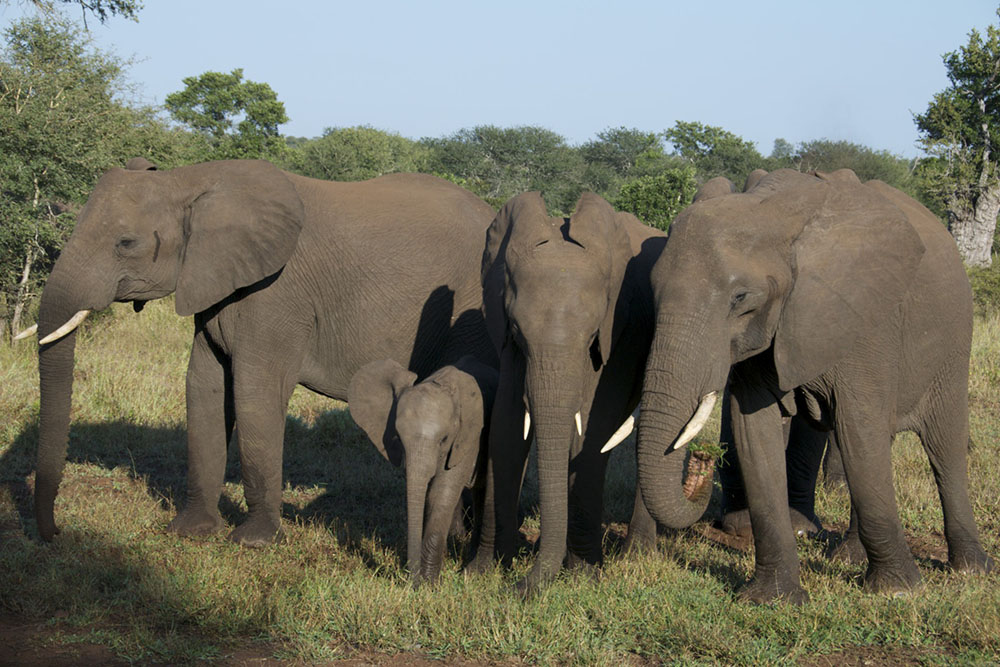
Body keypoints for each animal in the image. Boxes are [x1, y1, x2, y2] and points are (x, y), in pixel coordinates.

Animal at [25, 158, 500, 548]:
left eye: (125, 243)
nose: (56, 533)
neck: (191, 181)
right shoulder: (214, 282)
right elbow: (204, 387)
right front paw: (191, 532)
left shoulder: (276, 294)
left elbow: (255, 392)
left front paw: (253, 542)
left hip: (473, 315)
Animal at [346, 354, 498, 584]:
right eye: (398, 438)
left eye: (444, 439)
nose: (412, 580)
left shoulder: (468, 436)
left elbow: (441, 493)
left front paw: (428, 584)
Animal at [472, 190, 684, 592]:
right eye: (518, 331)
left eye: (591, 336)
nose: (518, 587)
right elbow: (507, 425)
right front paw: (481, 571)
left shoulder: (620, 327)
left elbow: (594, 424)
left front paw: (585, 575)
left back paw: (635, 556)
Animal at [632, 168, 992, 604]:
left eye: (741, 298)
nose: (701, 459)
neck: (776, 214)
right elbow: (755, 433)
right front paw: (772, 599)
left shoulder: (864, 322)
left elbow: (858, 427)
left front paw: (897, 592)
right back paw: (849, 558)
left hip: (952, 344)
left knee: (943, 445)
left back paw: (971, 569)